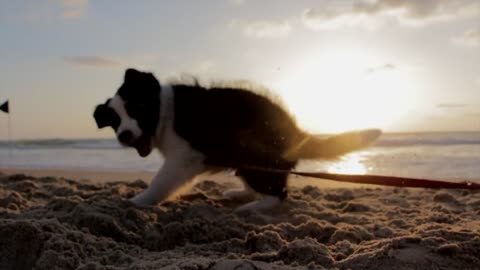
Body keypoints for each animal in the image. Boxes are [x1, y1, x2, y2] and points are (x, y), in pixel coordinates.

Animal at [93, 68, 378, 211]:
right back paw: (240, 194)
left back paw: (252, 208)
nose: (124, 135)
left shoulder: (184, 158)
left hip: (257, 159)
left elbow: (159, 182)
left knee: (279, 194)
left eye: (137, 108)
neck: (164, 112)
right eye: (115, 121)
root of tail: (297, 133)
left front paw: (137, 202)